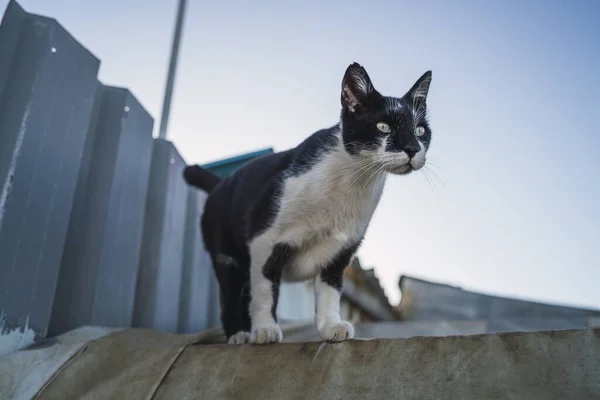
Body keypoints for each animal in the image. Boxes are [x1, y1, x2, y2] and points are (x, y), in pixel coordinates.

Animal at [183, 62, 432, 344]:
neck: (353, 181)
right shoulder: (264, 239)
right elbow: (265, 289)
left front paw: (330, 327)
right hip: (227, 257)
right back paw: (239, 333)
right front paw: (265, 329)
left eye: (420, 131)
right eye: (383, 127)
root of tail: (220, 183)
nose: (412, 148)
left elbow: (330, 293)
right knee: (230, 294)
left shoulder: (340, 252)